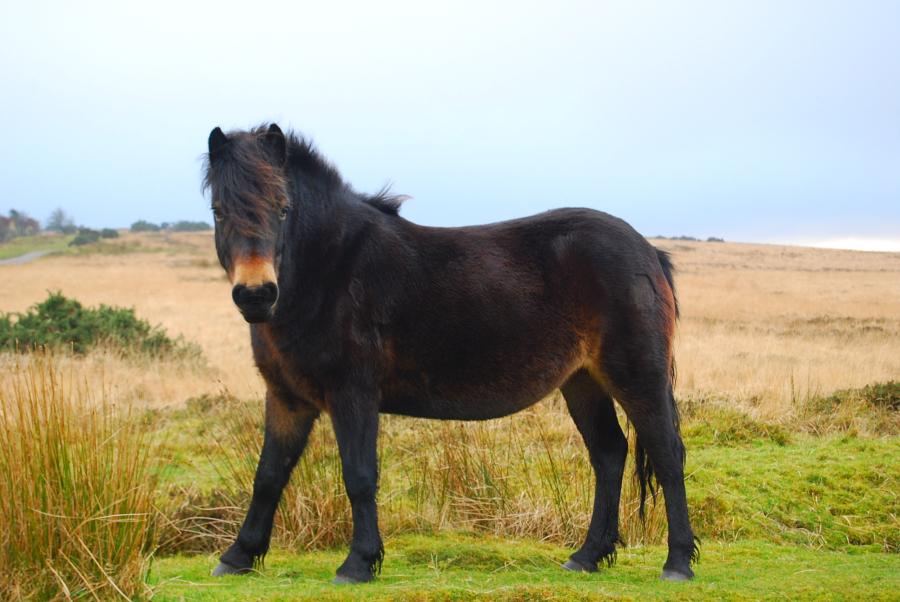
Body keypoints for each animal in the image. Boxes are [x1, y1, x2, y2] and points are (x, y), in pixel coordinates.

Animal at [204, 123, 696, 580]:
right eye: (218, 211)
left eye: (283, 207)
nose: (256, 294)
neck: (332, 270)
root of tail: (647, 251)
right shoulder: (287, 399)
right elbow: (269, 475)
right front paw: (238, 556)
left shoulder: (353, 395)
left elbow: (359, 476)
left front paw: (359, 563)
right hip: (583, 382)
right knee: (609, 454)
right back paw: (587, 556)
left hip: (636, 375)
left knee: (667, 453)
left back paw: (677, 563)